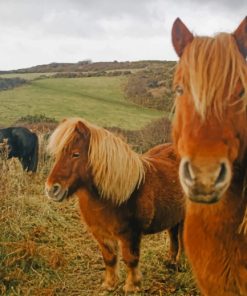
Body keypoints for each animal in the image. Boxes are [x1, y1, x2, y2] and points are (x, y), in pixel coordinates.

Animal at [44, 117, 184, 292]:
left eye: (75, 154)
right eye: (57, 155)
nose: (51, 189)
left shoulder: (131, 234)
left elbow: (131, 259)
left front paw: (132, 286)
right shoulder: (100, 233)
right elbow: (109, 258)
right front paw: (109, 284)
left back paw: (180, 264)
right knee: (173, 235)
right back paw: (170, 262)